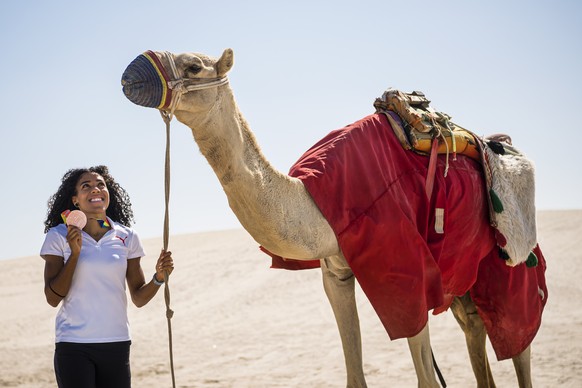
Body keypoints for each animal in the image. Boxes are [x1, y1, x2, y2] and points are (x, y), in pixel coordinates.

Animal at [122, 49, 548, 388]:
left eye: (193, 66)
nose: (131, 73)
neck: (314, 203)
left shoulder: (405, 271)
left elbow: (426, 377)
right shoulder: (335, 271)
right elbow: (354, 376)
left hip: (510, 255)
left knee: (519, 338)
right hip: (463, 271)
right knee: (474, 326)